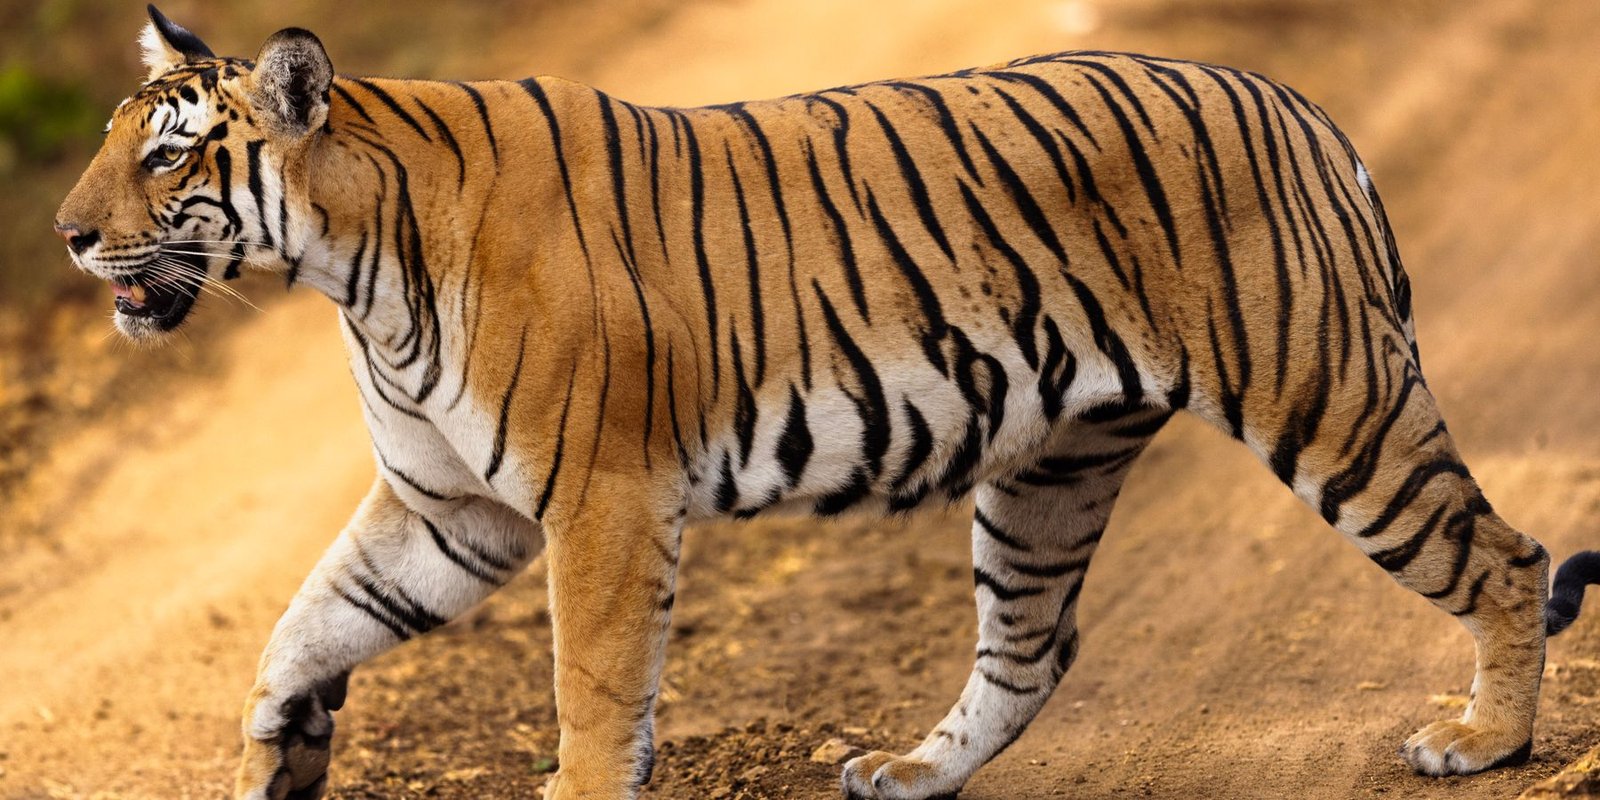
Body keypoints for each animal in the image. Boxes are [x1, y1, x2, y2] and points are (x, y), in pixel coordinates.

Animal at [54, 5, 1599, 799]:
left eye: (169, 157)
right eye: (114, 147)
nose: (67, 237)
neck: (352, 268)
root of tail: (1296, 104)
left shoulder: (597, 500)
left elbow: (592, 689)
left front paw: (577, 786)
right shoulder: (447, 506)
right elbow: (304, 622)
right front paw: (279, 753)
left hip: (1330, 398)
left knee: (1503, 553)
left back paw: (1485, 743)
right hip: (1050, 470)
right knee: (1033, 647)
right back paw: (911, 771)